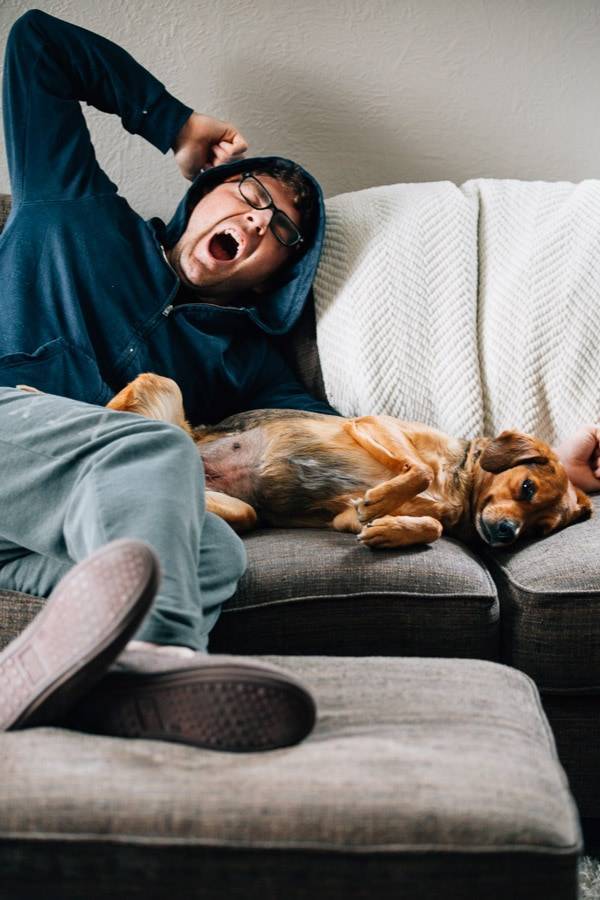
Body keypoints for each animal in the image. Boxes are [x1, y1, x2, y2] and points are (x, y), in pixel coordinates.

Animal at [106, 370, 592, 548]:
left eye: (541, 530)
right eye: (526, 486)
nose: (509, 534)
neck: (459, 488)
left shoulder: (342, 518)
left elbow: (429, 525)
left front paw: (391, 530)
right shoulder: (374, 424)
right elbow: (418, 470)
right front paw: (381, 503)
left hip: (241, 510)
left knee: (234, 510)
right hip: (160, 384)